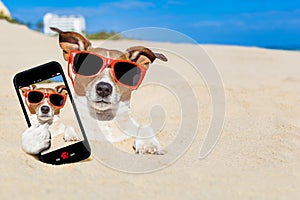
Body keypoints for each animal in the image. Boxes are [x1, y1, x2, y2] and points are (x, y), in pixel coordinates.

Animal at [50, 26, 169, 155]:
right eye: (89, 66)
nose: (104, 88)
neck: (104, 119)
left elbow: (145, 127)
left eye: (123, 71)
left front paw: (148, 143)